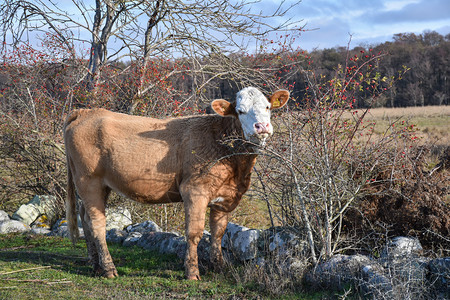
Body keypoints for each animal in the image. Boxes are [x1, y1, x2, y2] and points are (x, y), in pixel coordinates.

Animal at [63, 86, 290, 278]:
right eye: (241, 111)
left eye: (267, 107)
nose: (262, 126)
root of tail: (86, 112)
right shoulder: (194, 191)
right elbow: (194, 233)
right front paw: (192, 272)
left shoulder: (226, 197)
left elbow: (218, 233)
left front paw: (219, 267)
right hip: (88, 180)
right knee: (97, 223)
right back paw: (109, 269)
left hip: (102, 185)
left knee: (85, 218)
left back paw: (96, 265)